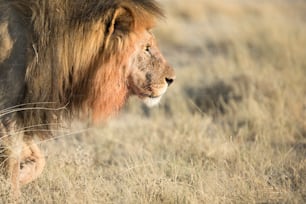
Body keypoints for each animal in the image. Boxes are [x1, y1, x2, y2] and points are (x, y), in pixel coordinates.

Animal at [0, 0, 176, 197]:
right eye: (146, 48)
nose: (171, 79)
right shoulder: (7, 108)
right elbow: (12, 157)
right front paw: (12, 192)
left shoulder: (18, 110)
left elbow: (37, 158)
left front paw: (20, 176)